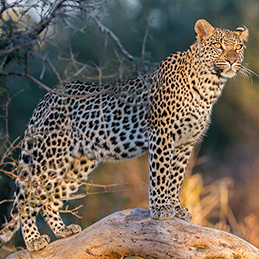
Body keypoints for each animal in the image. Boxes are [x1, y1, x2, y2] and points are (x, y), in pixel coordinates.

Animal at [0, 19, 250, 252]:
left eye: (238, 47)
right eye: (218, 45)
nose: (231, 60)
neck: (210, 85)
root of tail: (46, 98)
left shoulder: (185, 143)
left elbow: (176, 178)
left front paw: (176, 209)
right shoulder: (162, 134)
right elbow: (161, 175)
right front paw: (160, 209)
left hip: (77, 164)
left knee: (50, 199)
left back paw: (63, 231)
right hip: (50, 158)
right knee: (28, 197)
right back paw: (33, 240)